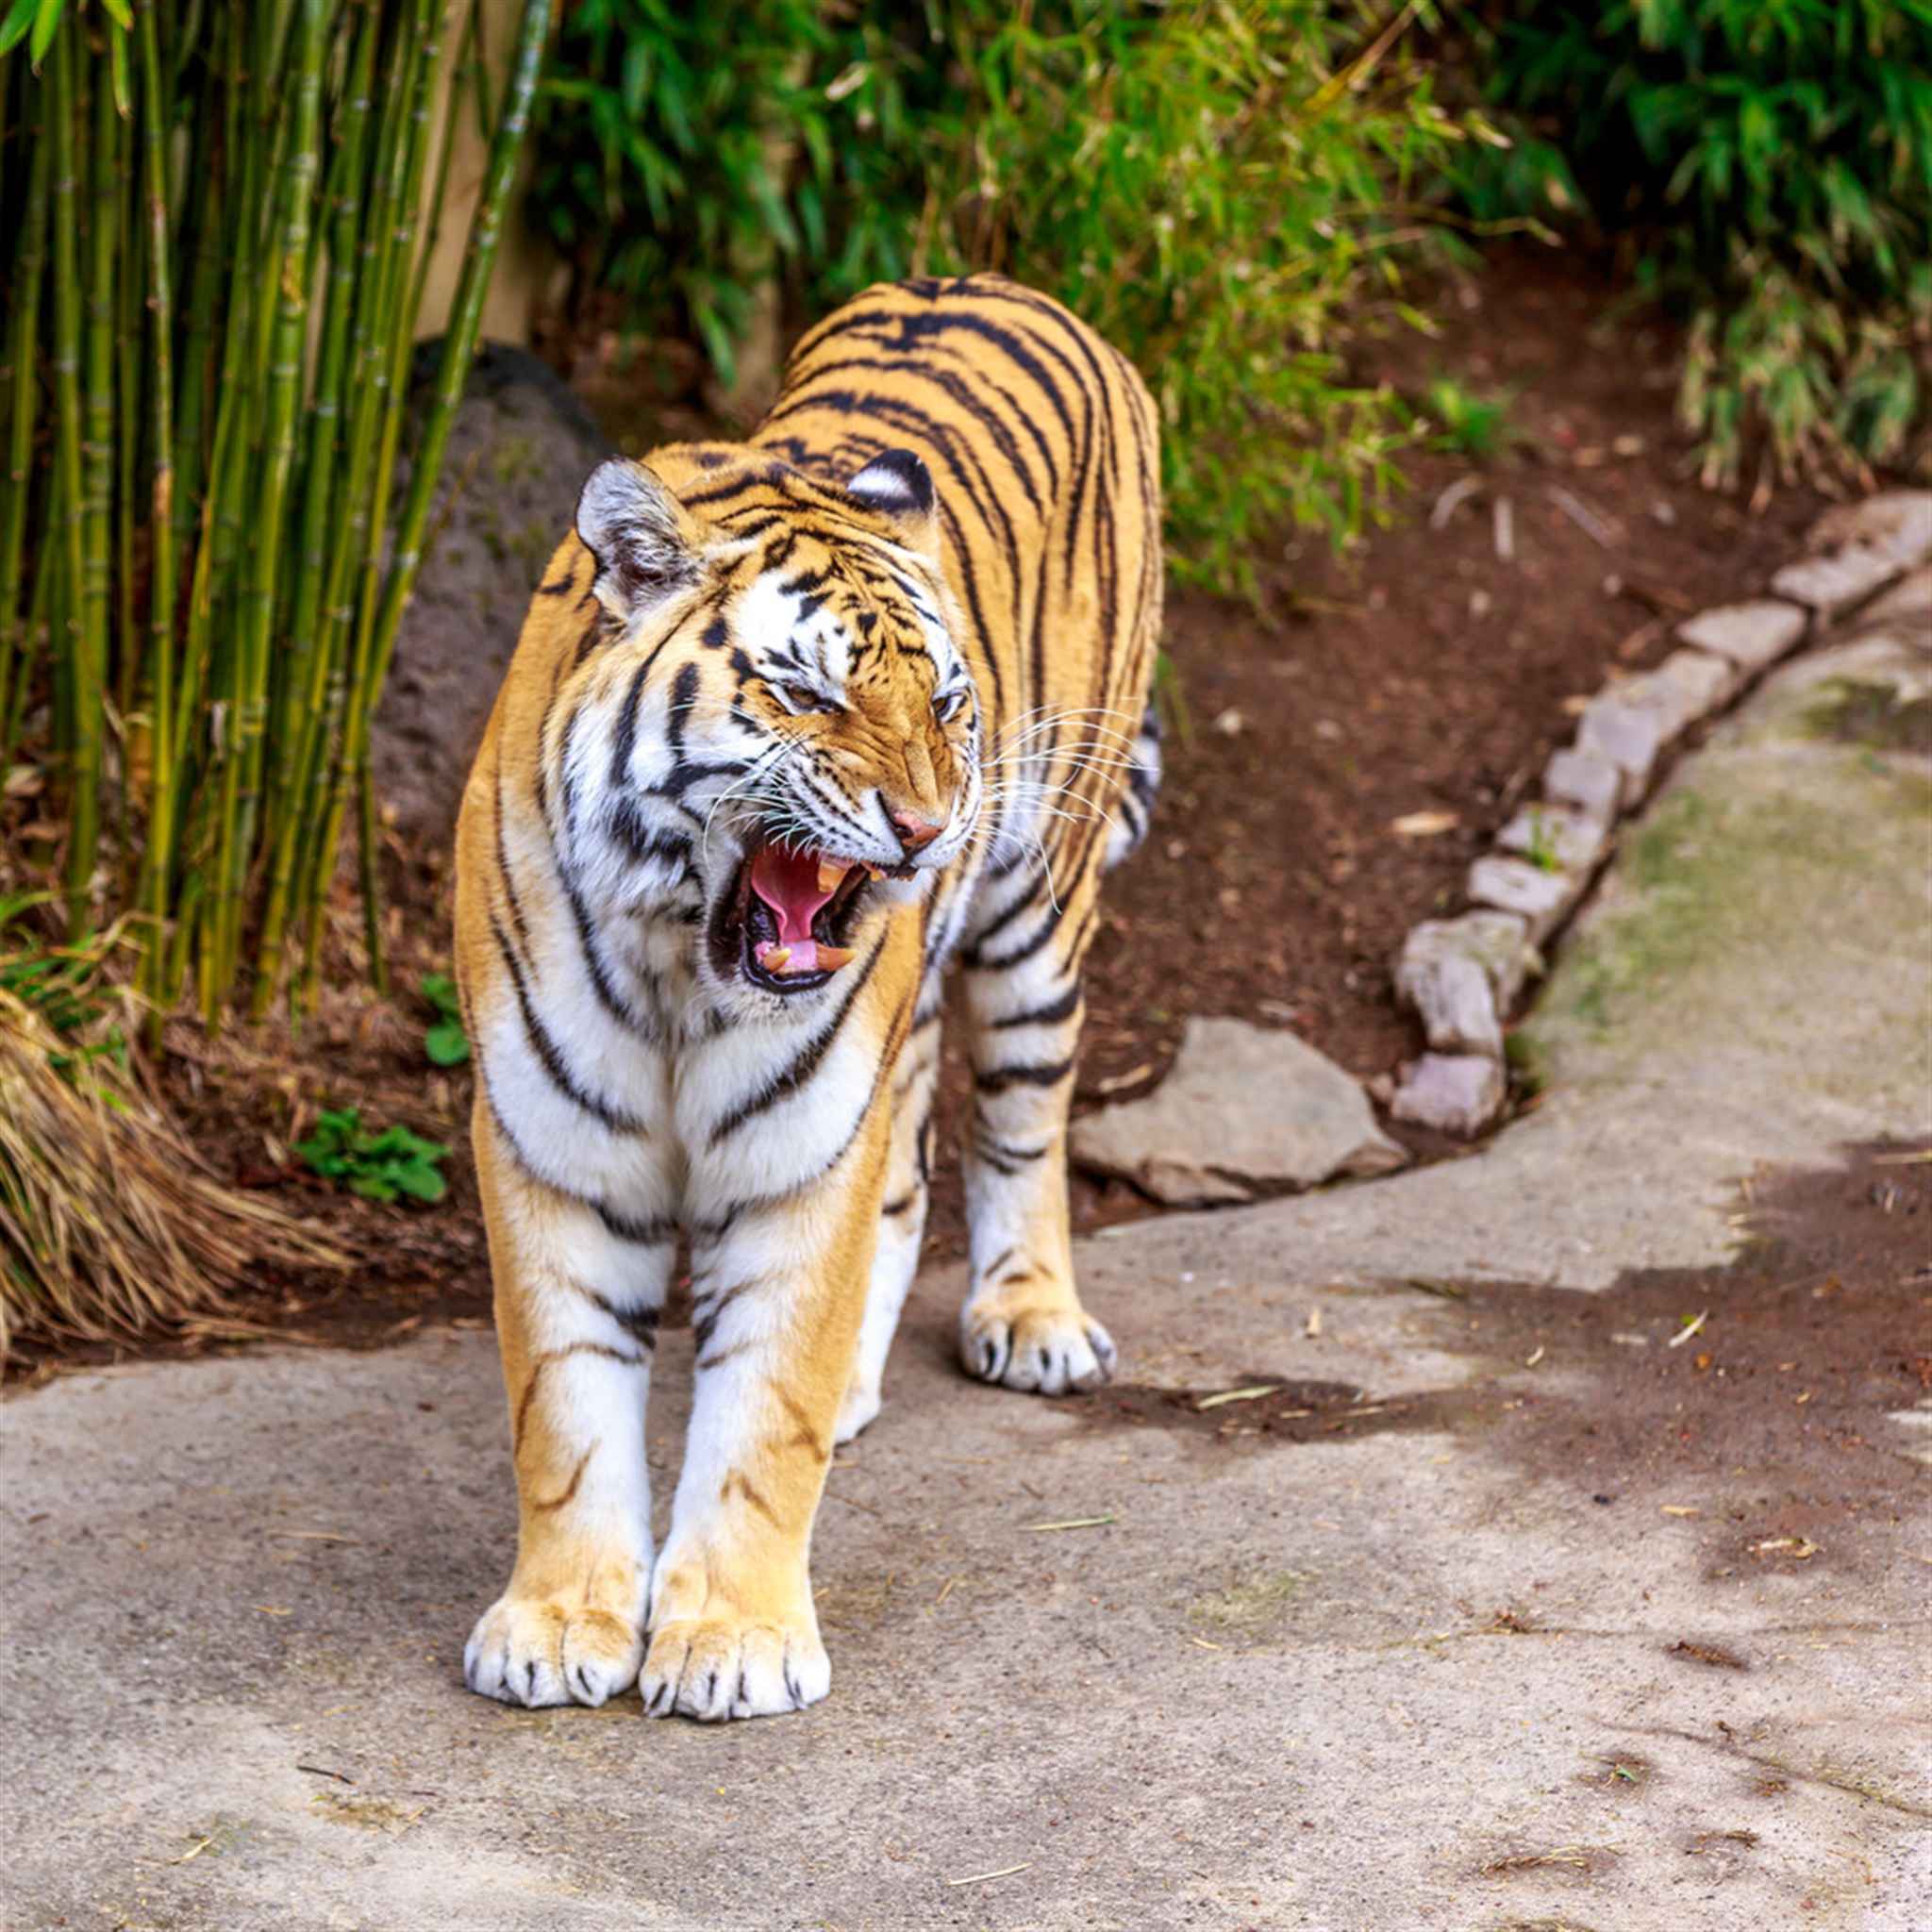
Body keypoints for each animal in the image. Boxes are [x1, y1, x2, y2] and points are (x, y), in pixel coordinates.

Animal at [452, 268, 1158, 1723]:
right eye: (807, 692)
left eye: (945, 701)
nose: (929, 828)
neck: (679, 961)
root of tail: (999, 279)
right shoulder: (551, 1146)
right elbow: (563, 1405)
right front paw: (557, 1624)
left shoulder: (797, 1148)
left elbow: (760, 1417)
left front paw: (729, 1640)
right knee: (907, 1171)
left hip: (1038, 910)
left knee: (1021, 1124)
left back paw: (1033, 1318)